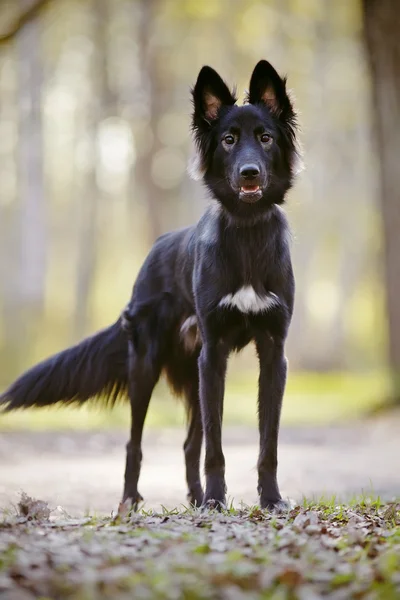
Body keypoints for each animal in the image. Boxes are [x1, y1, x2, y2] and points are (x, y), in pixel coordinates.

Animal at [0, 59, 302, 510]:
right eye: (228, 140)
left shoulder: (272, 353)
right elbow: (216, 447)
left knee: (190, 444)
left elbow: (268, 442)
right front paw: (217, 501)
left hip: (195, 373)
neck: (248, 233)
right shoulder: (214, 353)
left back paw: (195, 498)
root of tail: (154, 250)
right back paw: (131, 502)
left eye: (265, 138)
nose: (249, 173)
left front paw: (270, 499)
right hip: (148, 365)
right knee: (135, 443)